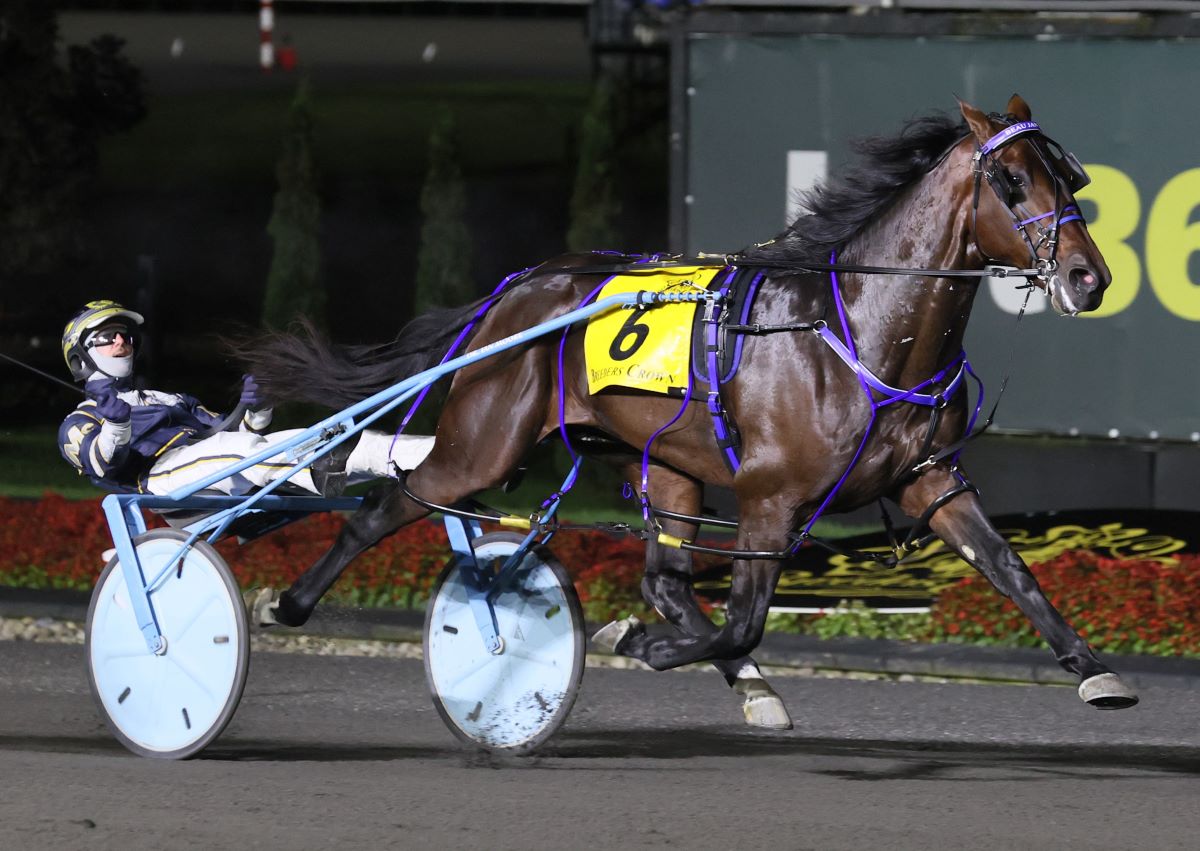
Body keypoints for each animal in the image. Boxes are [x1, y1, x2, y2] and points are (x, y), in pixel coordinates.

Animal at [238, 94, 1138, 727]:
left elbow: (1009, 566)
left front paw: (1095, 667)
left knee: (665, 577)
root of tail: (515, 291)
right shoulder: (770, 499)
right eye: (1013, 180)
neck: (861, 328)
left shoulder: (929, 479)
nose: (1090, 277)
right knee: (388, 502)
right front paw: (627, 638)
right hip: (486, 442)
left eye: (1071, 178)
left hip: (667, 461)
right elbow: (742, 622)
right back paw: (286, 603)